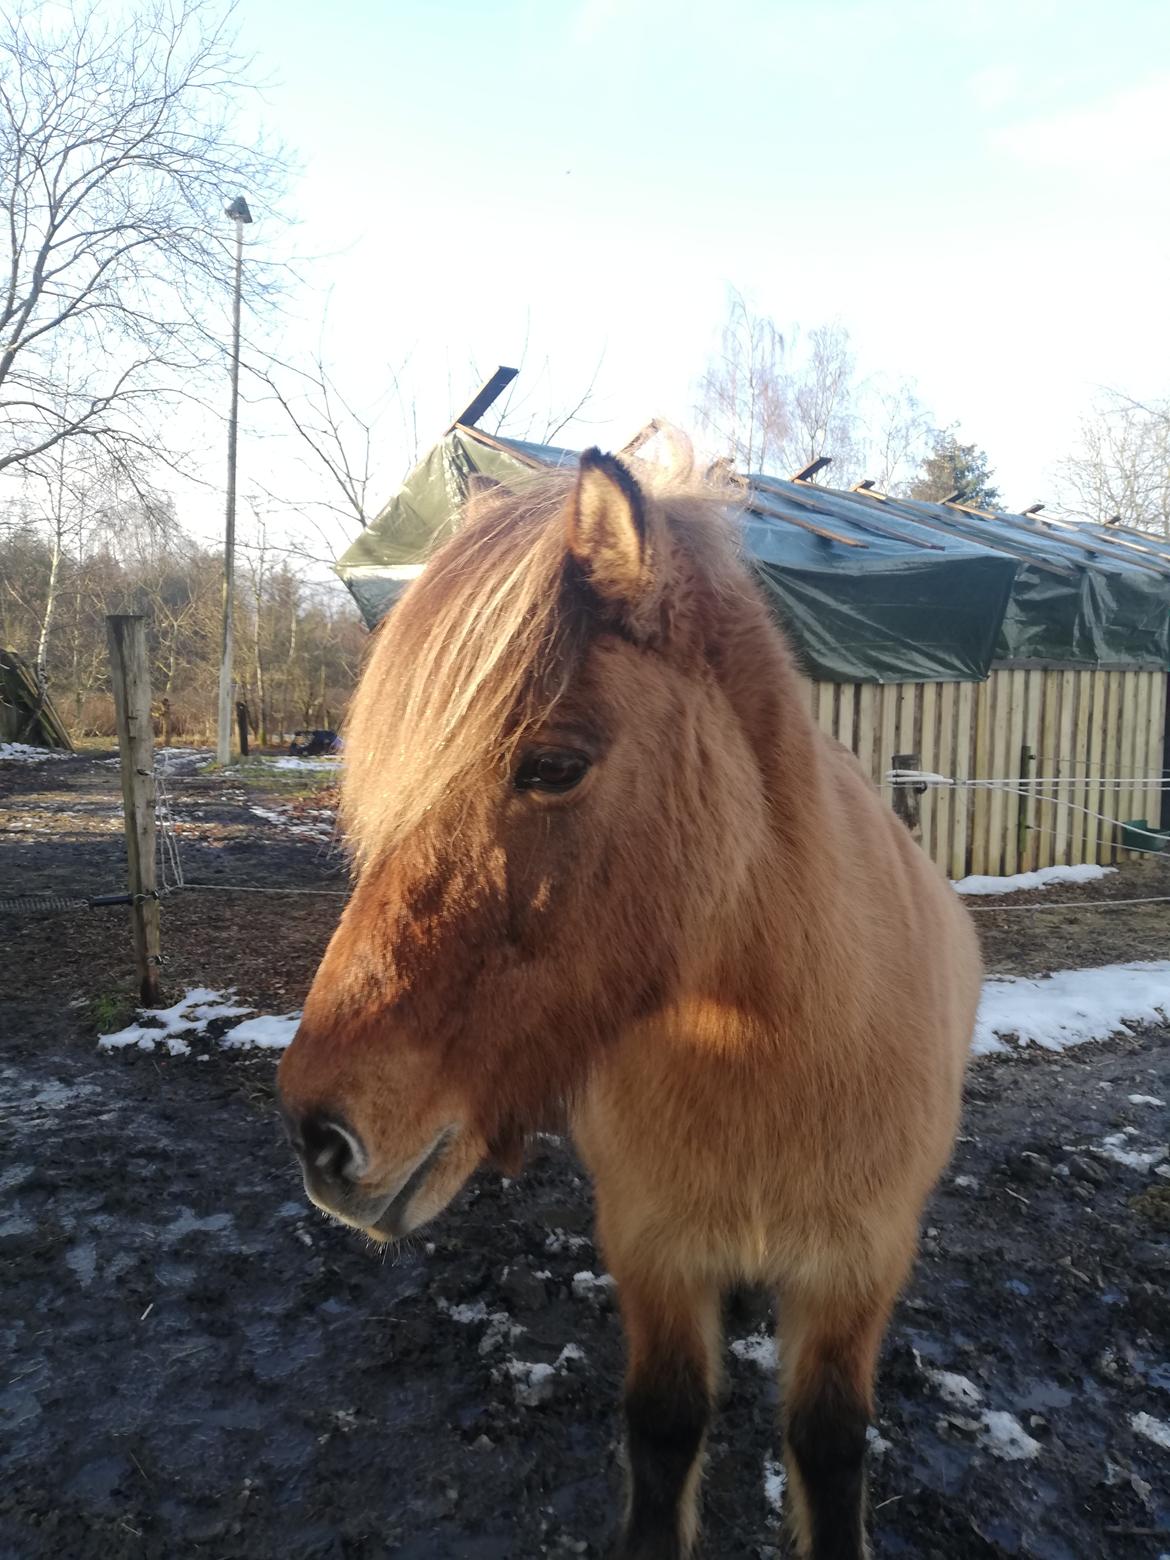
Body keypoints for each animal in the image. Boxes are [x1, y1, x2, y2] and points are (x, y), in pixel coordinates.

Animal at [279, 449, 985, 1560]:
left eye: (554, 765)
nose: (317, 1134)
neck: (775, 1061)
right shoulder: (654, 1252)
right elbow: (663, 1430)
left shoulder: (856, 1269)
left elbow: (830, 1447)